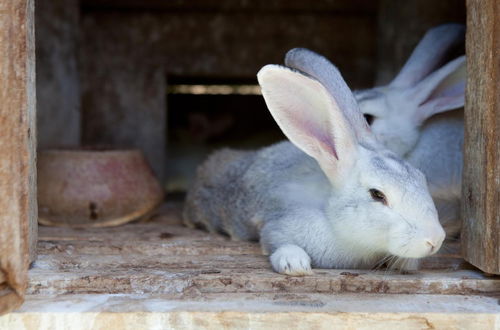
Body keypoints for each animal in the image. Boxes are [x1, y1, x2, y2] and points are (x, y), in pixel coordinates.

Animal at [185, 55, 446, 274]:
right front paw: (295, 264)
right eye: (377, 195)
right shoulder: (279, 225)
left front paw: (407, 264)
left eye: (421, 179)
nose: (435, 240)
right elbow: (276, 243)